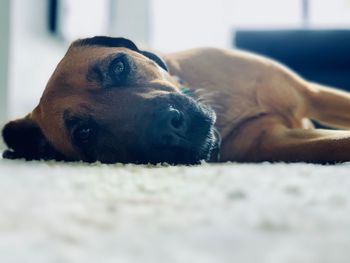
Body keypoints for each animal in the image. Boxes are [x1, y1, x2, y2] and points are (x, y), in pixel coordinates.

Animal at [2, 36, 350, 165]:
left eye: (118, 66)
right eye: (84, 133)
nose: (171, 126)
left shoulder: (311, 94)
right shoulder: (273, 143)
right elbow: (337, 143)